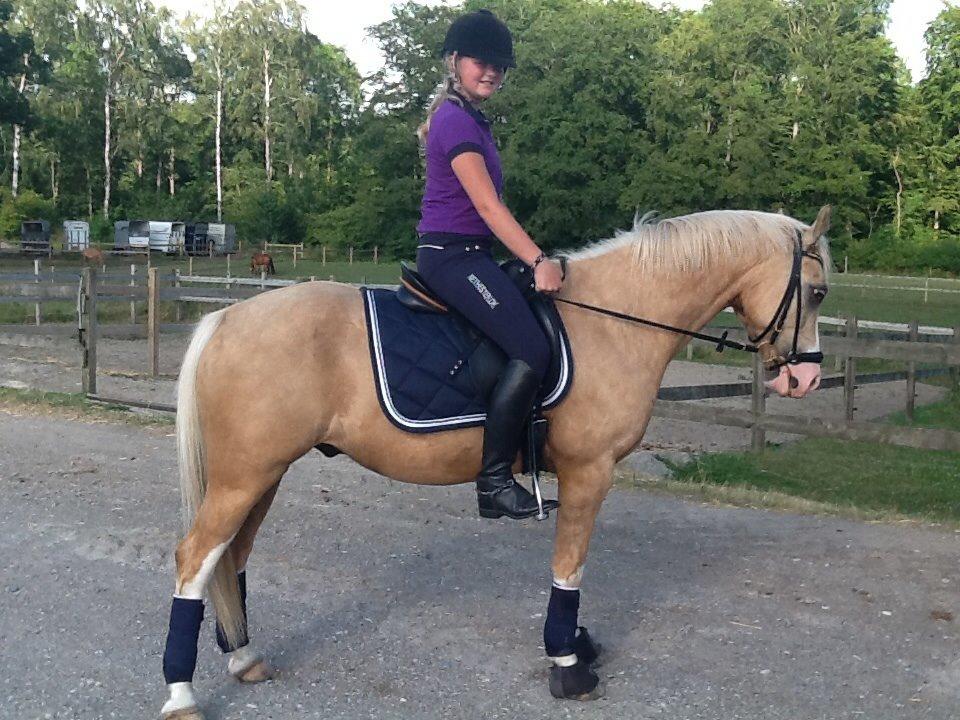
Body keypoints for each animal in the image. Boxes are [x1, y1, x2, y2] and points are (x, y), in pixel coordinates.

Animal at [159, 207, 832, 719]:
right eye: (818, 291)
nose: (804, 379)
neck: (612, 321)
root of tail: (226, 318)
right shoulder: (590, 472)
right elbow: (570, 568)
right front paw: (567, 663)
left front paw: (577, 645)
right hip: (244, 476)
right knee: (195, 558)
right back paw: (181, 694)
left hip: (260, 475)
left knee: (231, 560)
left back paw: (243, 658)